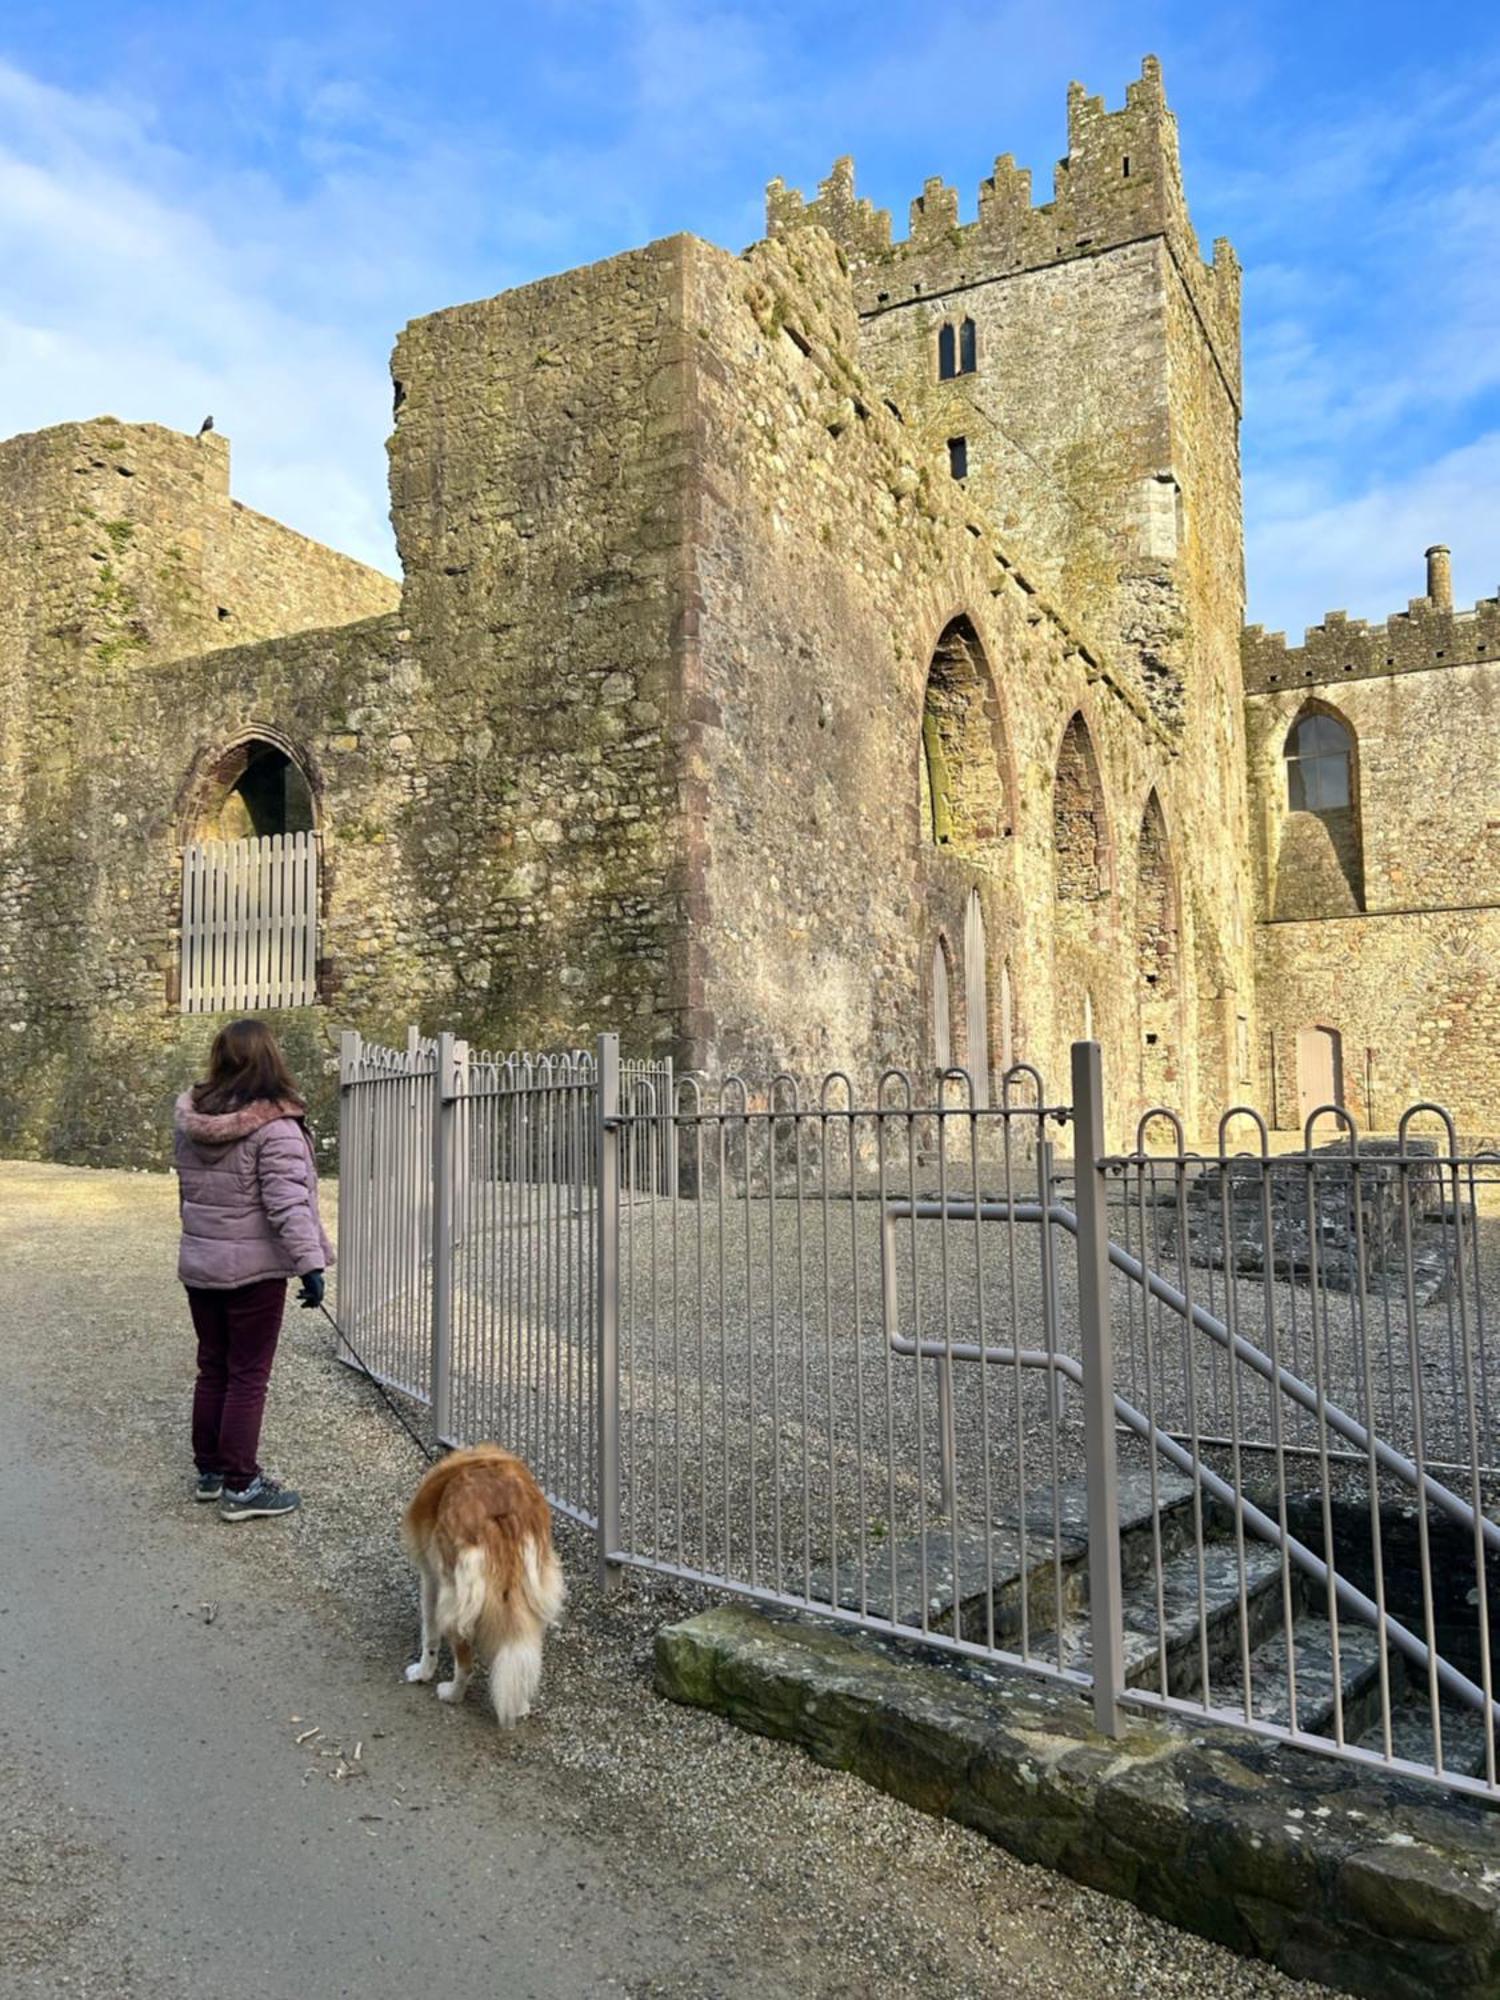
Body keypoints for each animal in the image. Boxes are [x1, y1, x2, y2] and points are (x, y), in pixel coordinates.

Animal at [402, 1448, 568, 1728]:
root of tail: (501, 1512)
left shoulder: (430, 1579)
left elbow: (429, 1635)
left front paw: (423, 1672)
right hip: (536, 1591)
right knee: (520, 1655)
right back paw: (519, 1705)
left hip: (454, 1600)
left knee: (465, 1664)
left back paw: (451, 1694)